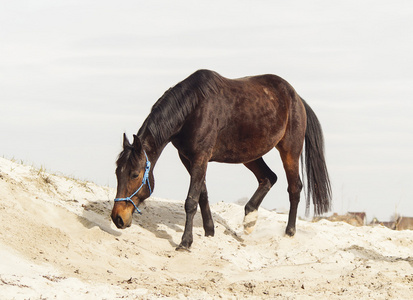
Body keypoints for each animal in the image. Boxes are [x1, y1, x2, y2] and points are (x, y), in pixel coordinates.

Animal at [110, 69, 332, 250]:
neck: (193, 108)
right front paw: (209, 232)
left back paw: (289, 232)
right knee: (269, 178)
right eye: (117, 173)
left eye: (135, 174)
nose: (117, 218)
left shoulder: (200, 157)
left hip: (290, 151)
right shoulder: (188, 158)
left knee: (294, 188)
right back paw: (249, 220)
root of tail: (296, 98)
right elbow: (202, 194)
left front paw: (185, 242)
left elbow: (191, 200)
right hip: (250, 154)